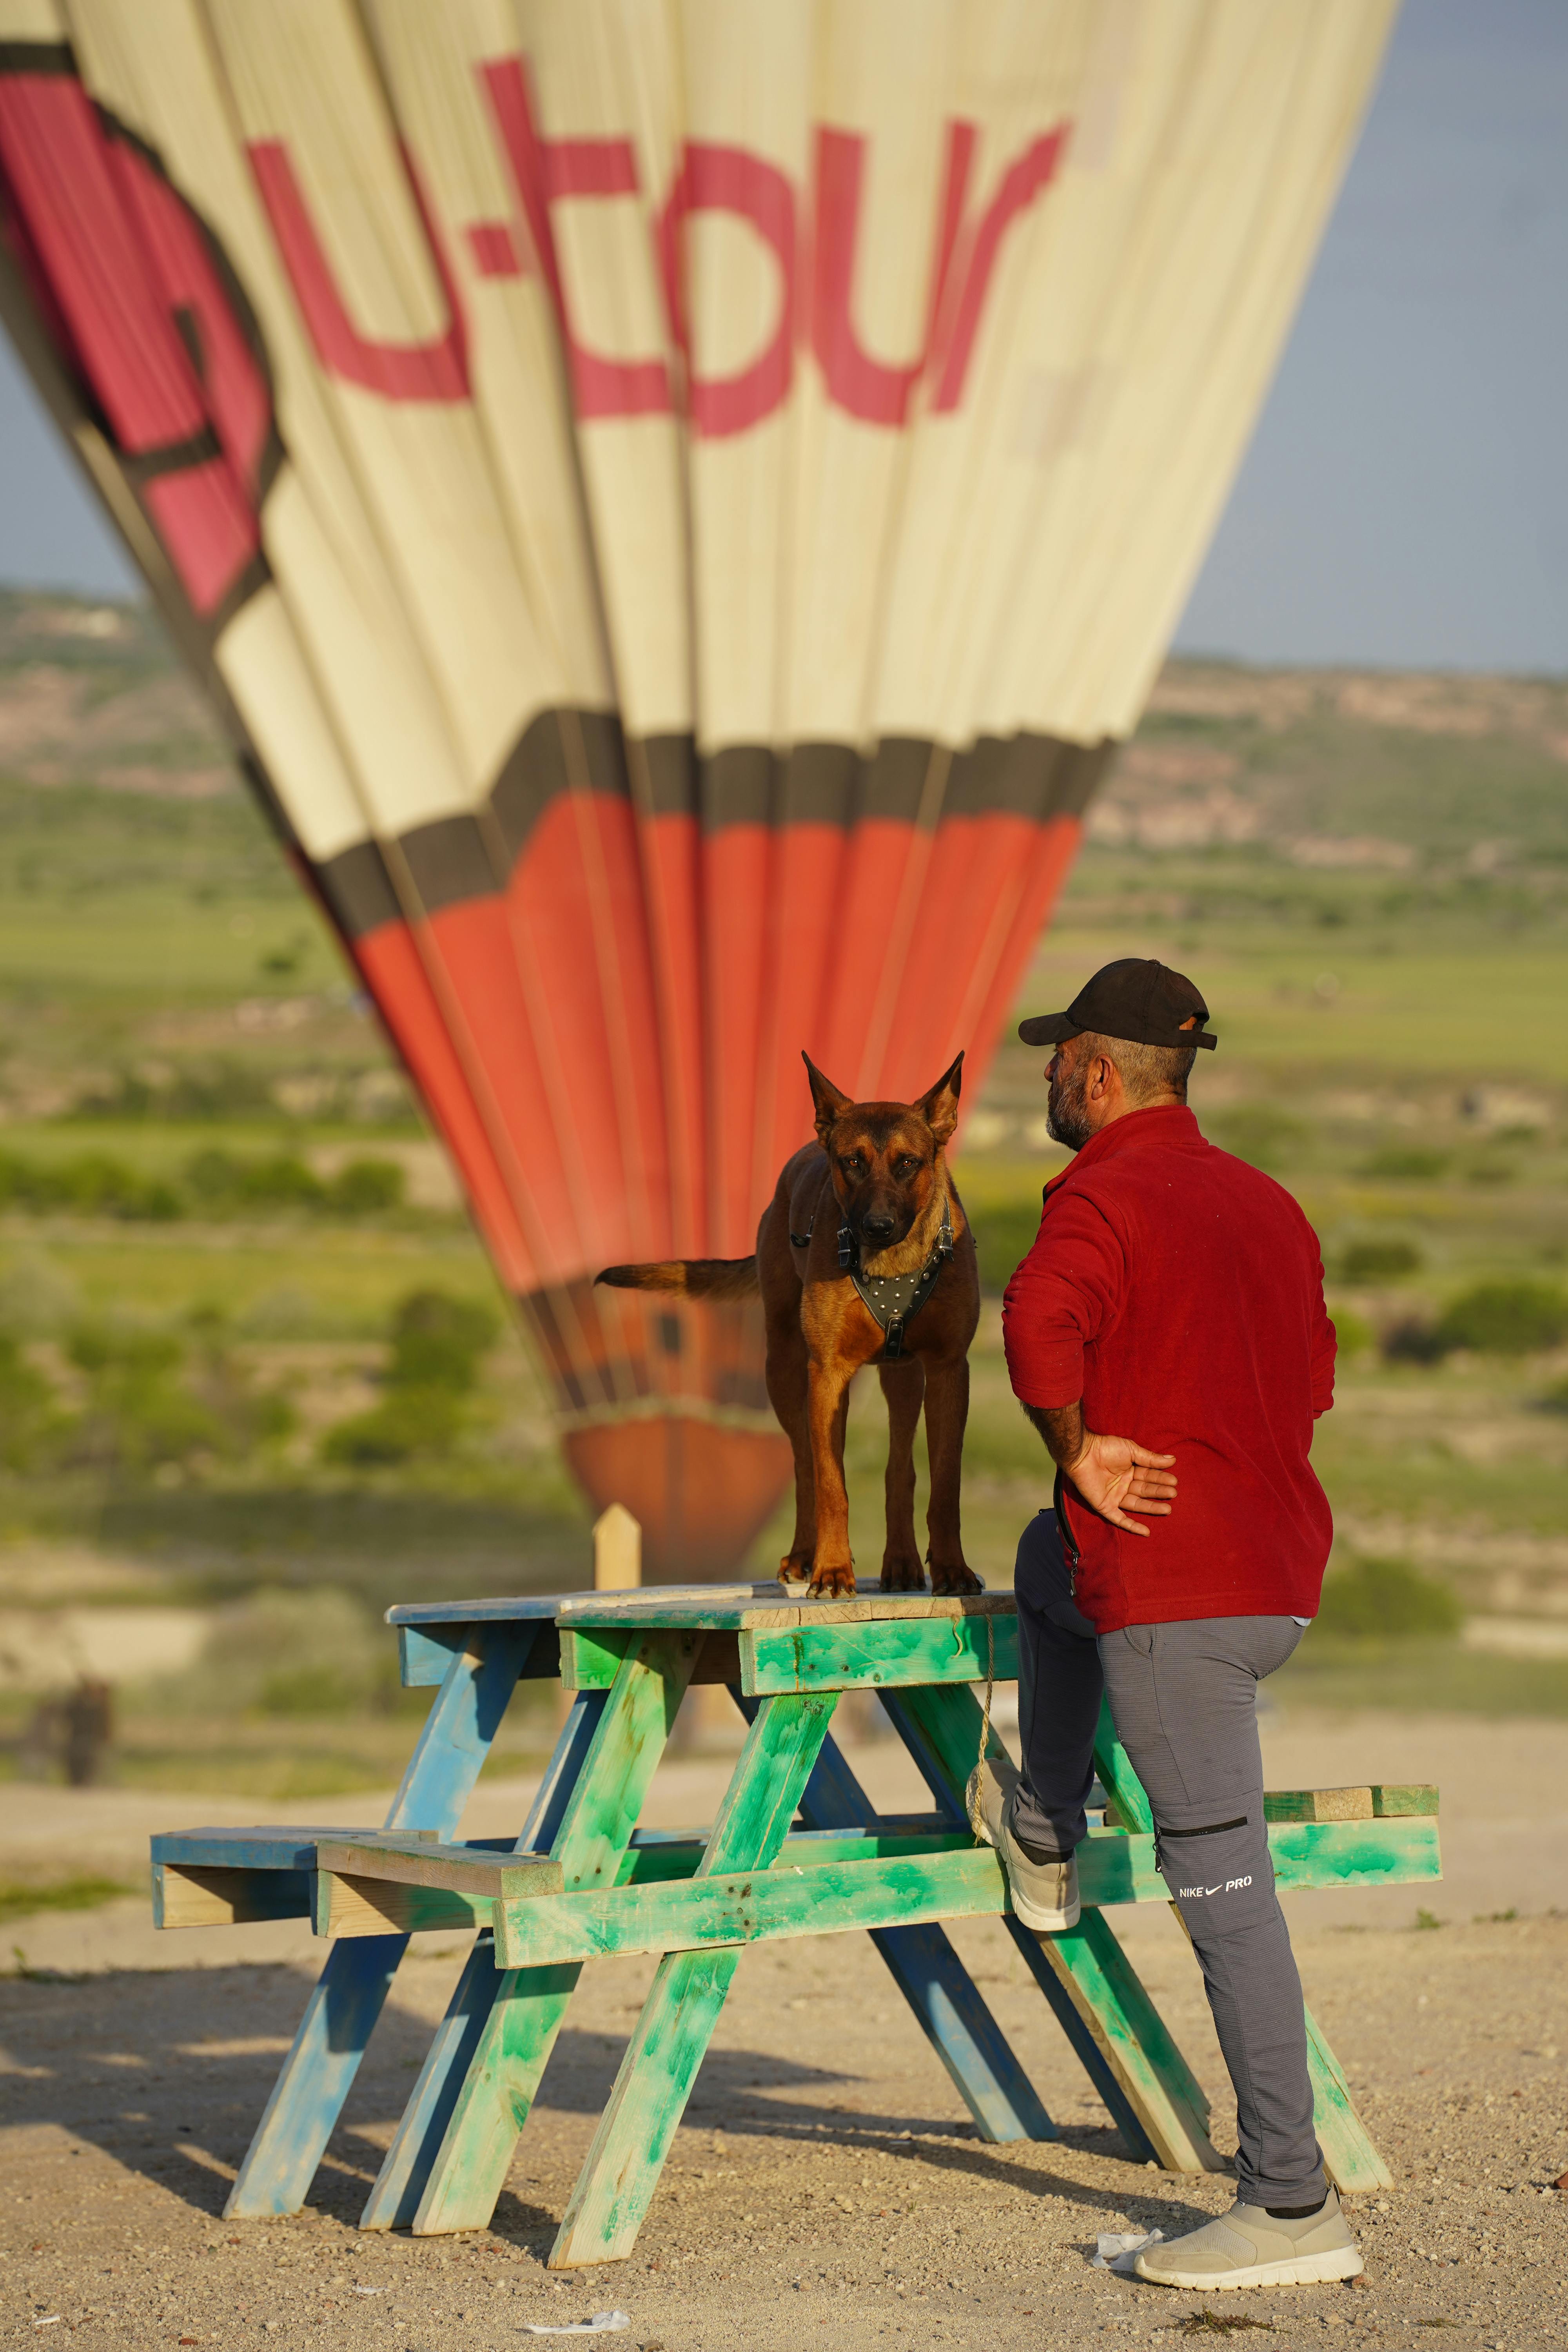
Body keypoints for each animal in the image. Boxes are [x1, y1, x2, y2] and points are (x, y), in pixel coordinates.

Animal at [602, 1058, 982, 1609]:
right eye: (852, 1162)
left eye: (908, 1163)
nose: (877, 1226)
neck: (892, 1265)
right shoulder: (827, 1374)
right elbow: (830, 1484)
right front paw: (832, 1570)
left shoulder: (949, 1369)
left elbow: (945, 1483)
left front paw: (952, 1569)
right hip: (782, 1371)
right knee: (805, 1465)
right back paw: (807, 1555)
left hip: (903, 1377)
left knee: (898, 1471)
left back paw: (901, 1563)